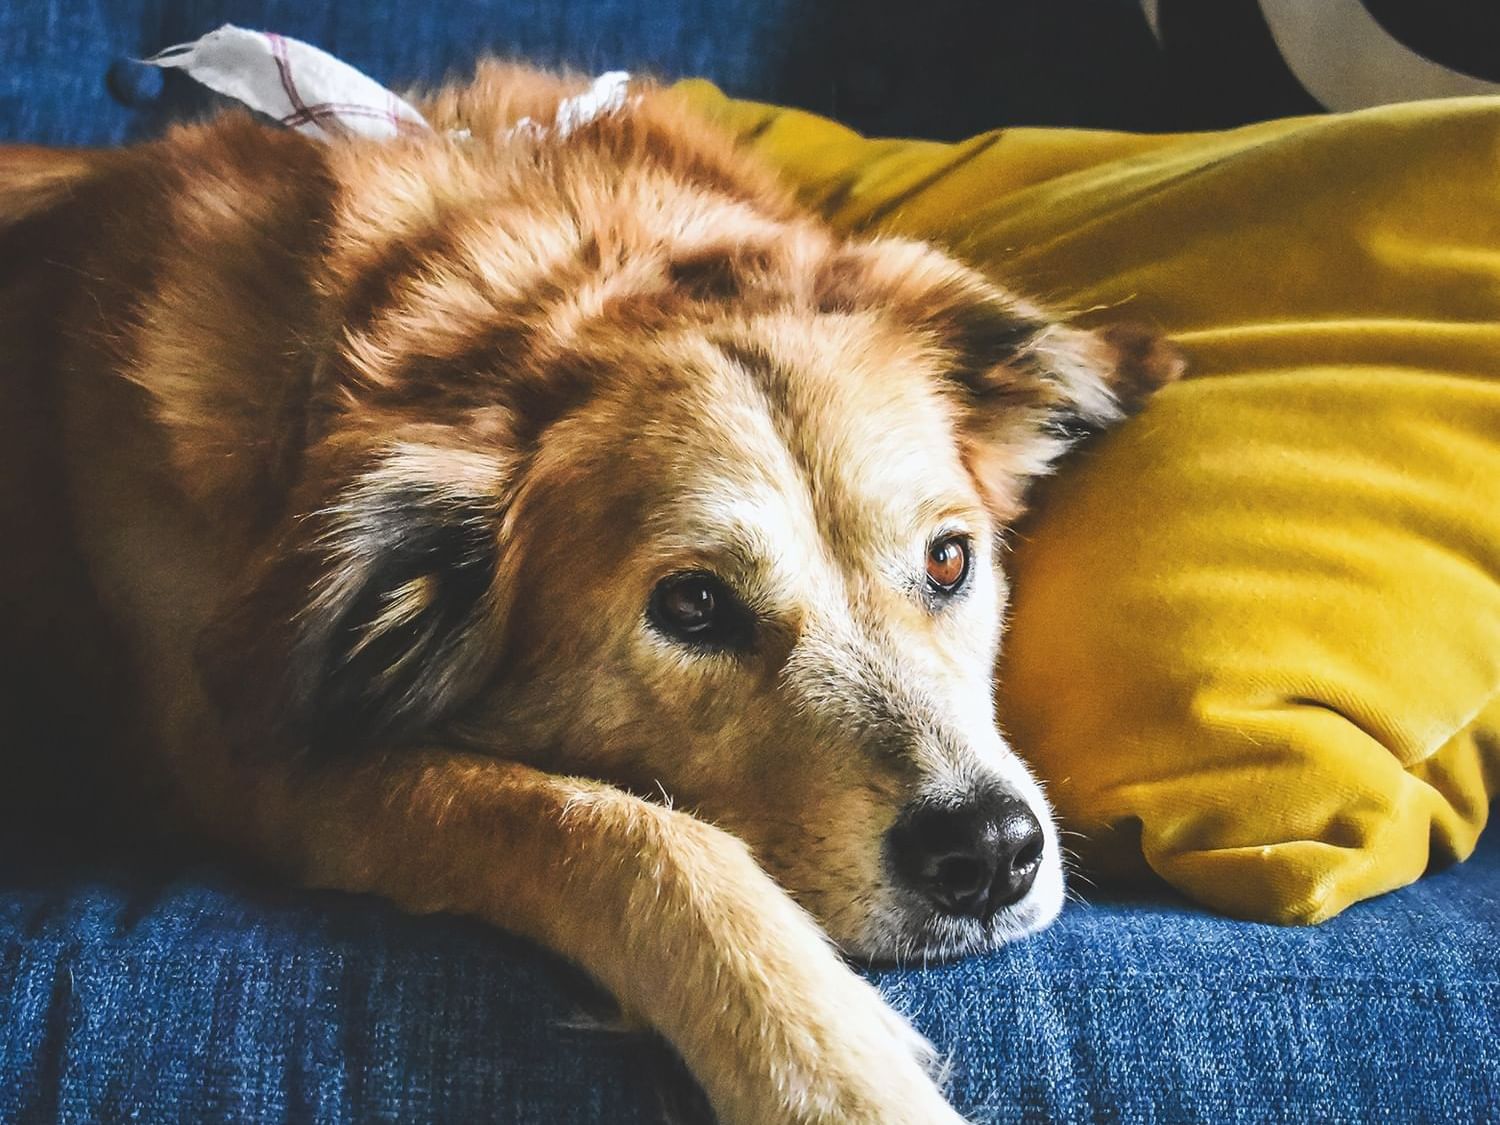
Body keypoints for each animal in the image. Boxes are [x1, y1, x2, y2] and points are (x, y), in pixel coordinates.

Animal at [0, 63, 1182, 1125]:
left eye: (947, 561)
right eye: (693, 606)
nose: (990, 852)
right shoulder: (261, 771)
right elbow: (620, 830)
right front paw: (835, 1073)